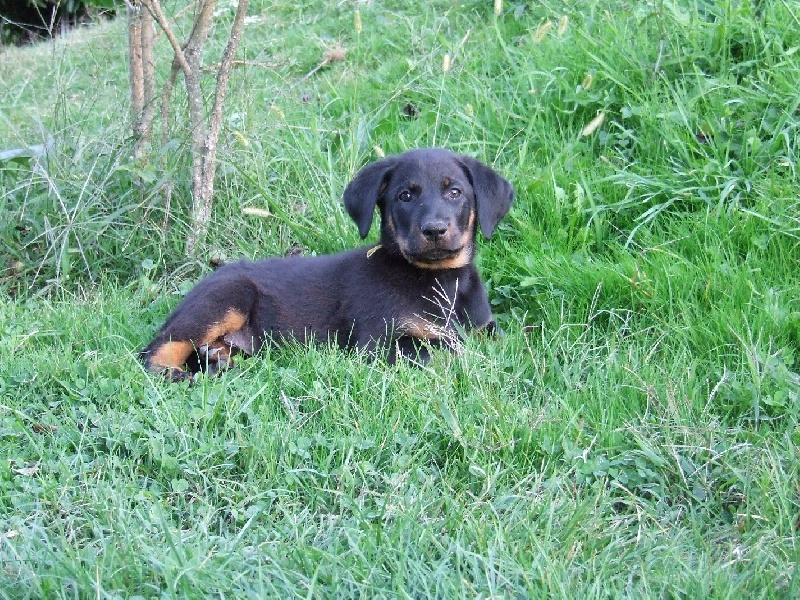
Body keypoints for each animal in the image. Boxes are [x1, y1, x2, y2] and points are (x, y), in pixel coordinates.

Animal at [141, 146, 516, 380]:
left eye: (455, 192)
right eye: (405, 196)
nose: (435, 230)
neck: (438, 281)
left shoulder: (484, 328)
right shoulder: (376, 343)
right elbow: (437, 350)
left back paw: (217, 360)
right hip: (225, 299)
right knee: (155, 351)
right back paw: (178, 374)